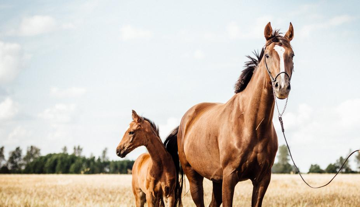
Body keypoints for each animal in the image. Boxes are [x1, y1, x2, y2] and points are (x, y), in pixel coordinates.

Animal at [165, 21, 296, 206]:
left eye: (292, 55)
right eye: (267, 55)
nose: (282, 87)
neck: (250, 124)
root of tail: (185, 121)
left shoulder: (262, 179)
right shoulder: (229, 177)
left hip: (216, 179)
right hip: (194, 177)